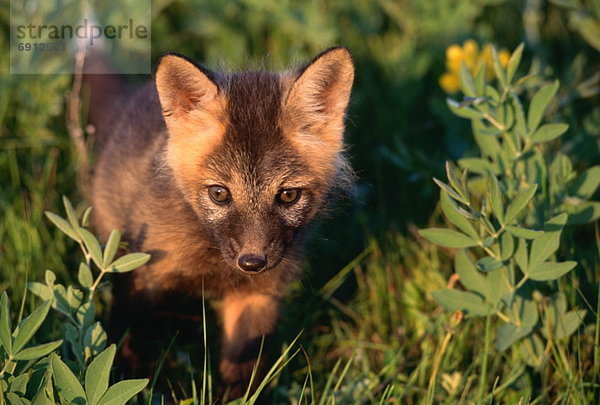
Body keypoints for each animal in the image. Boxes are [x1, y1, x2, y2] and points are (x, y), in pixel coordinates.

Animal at [86, 45, 354, 396]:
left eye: (287, 196)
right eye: (219, 193)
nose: (252, 262)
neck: (212, 265)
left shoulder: (258, 294)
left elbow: (241, 372)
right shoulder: (141, 277)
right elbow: (124, 345)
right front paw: (125, 384)